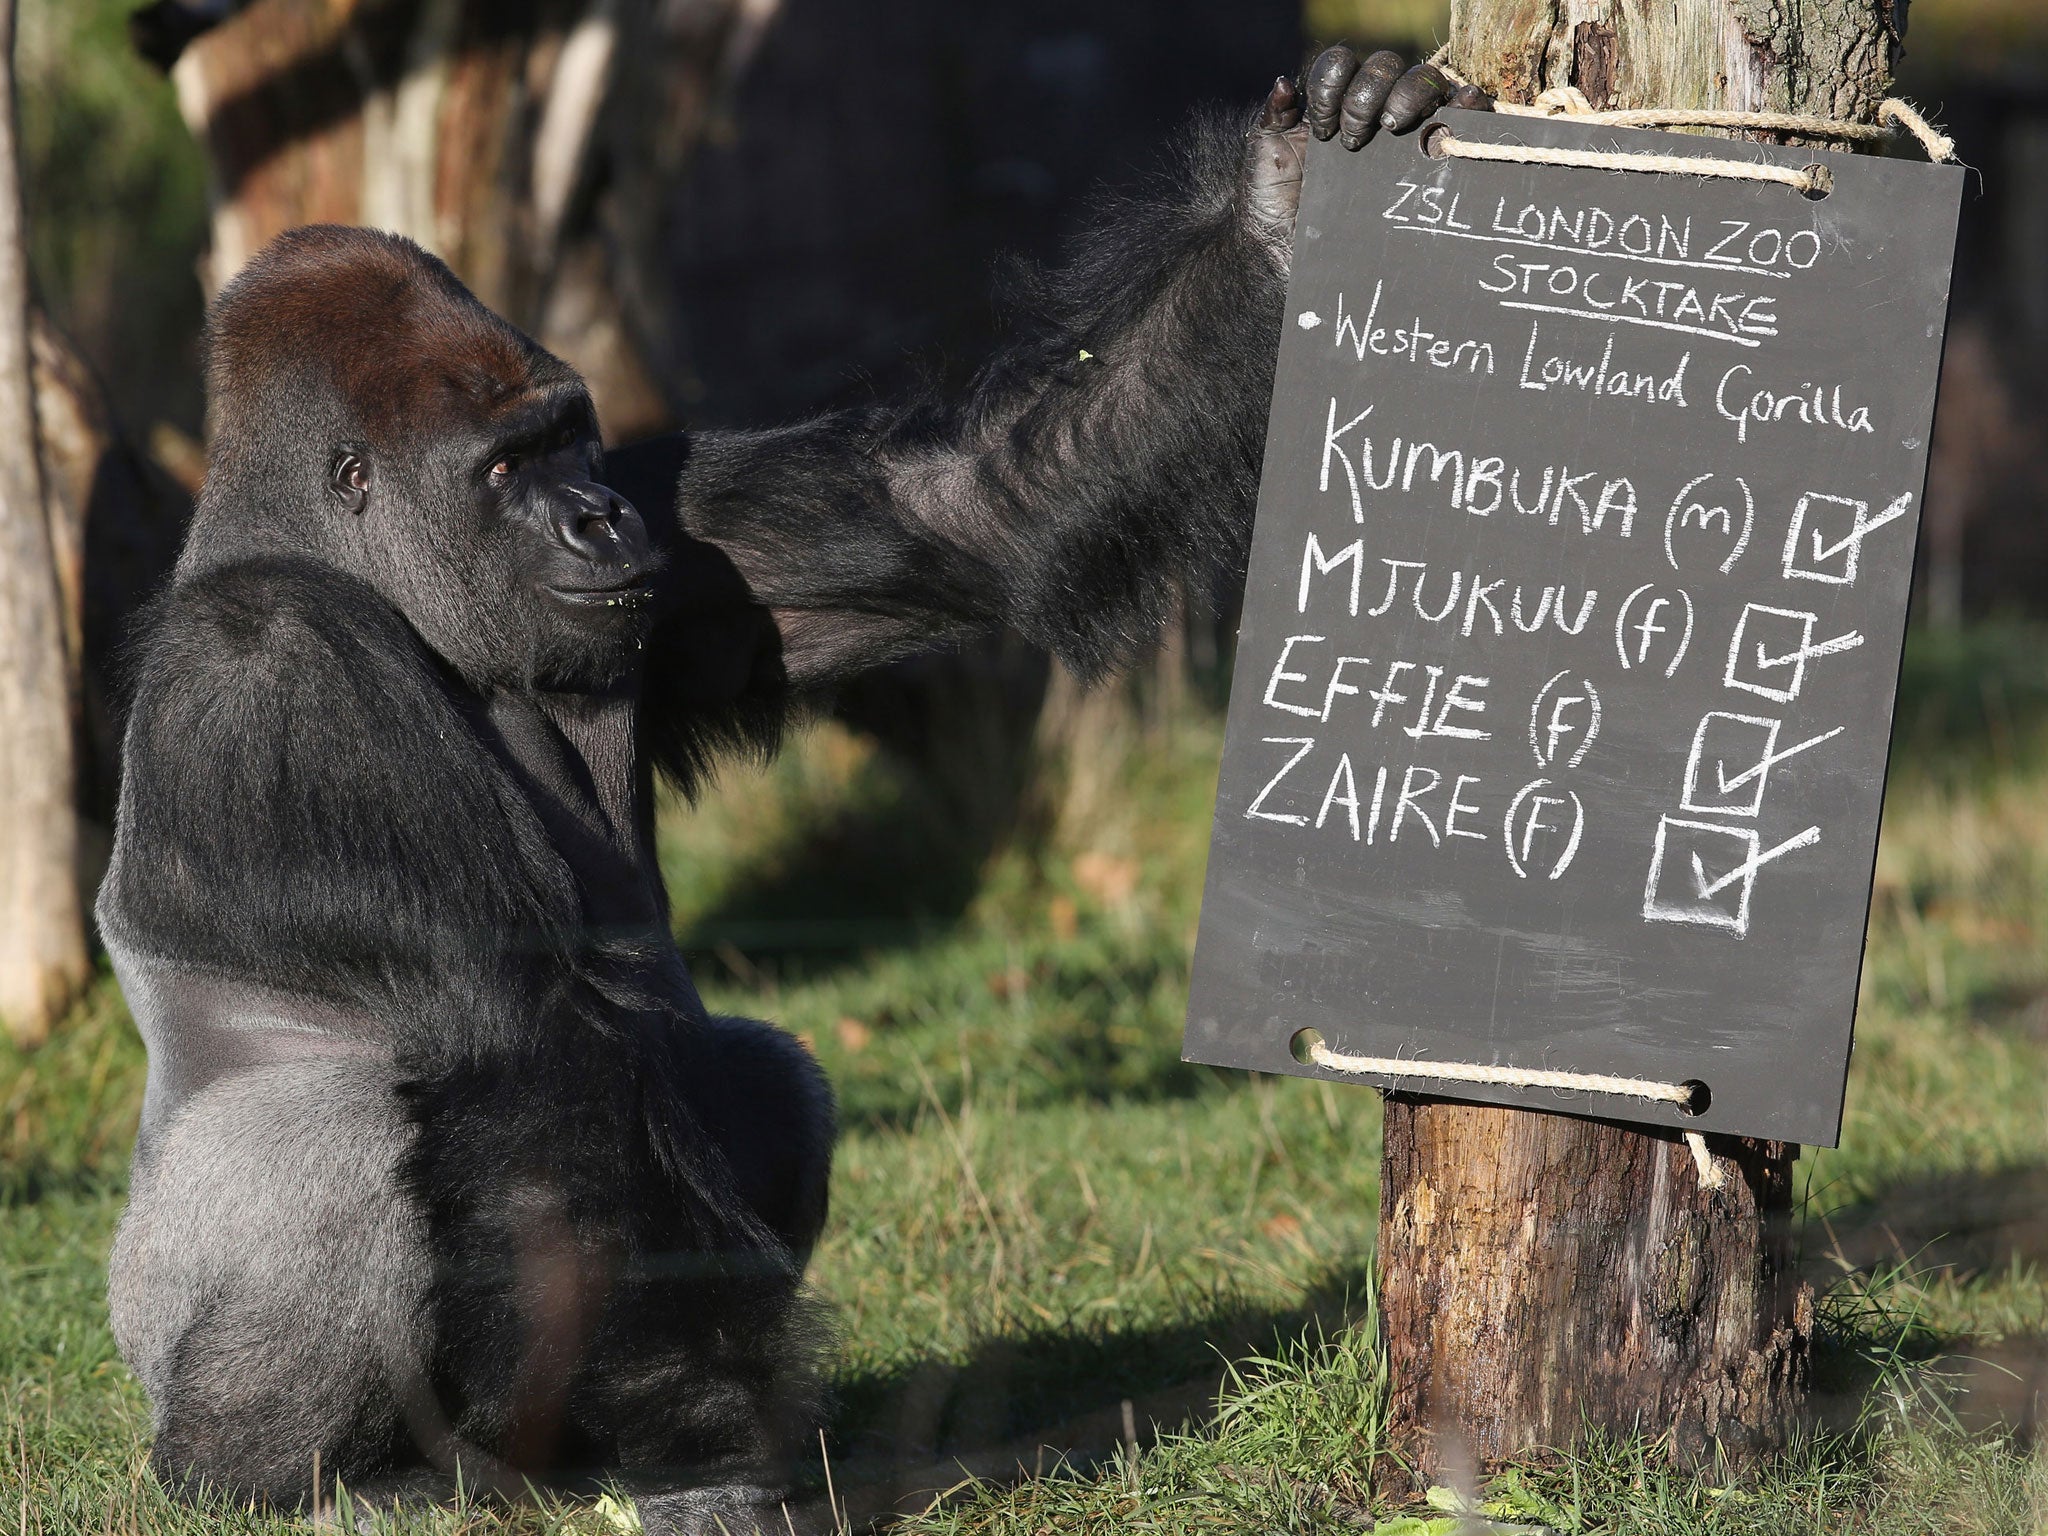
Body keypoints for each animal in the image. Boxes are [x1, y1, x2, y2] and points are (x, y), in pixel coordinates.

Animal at [96, 51, 1466, 1536]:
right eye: (504, 469)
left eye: (567, 443)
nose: (592, 521)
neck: (354, 572)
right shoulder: (282, 670)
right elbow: (534, 1049)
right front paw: (722, 1470)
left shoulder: (668, 497)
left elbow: (970, 507)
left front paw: (1285, 197)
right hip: (191, 1377)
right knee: (337, 1140)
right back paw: (304, 1474)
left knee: (758, 1071)